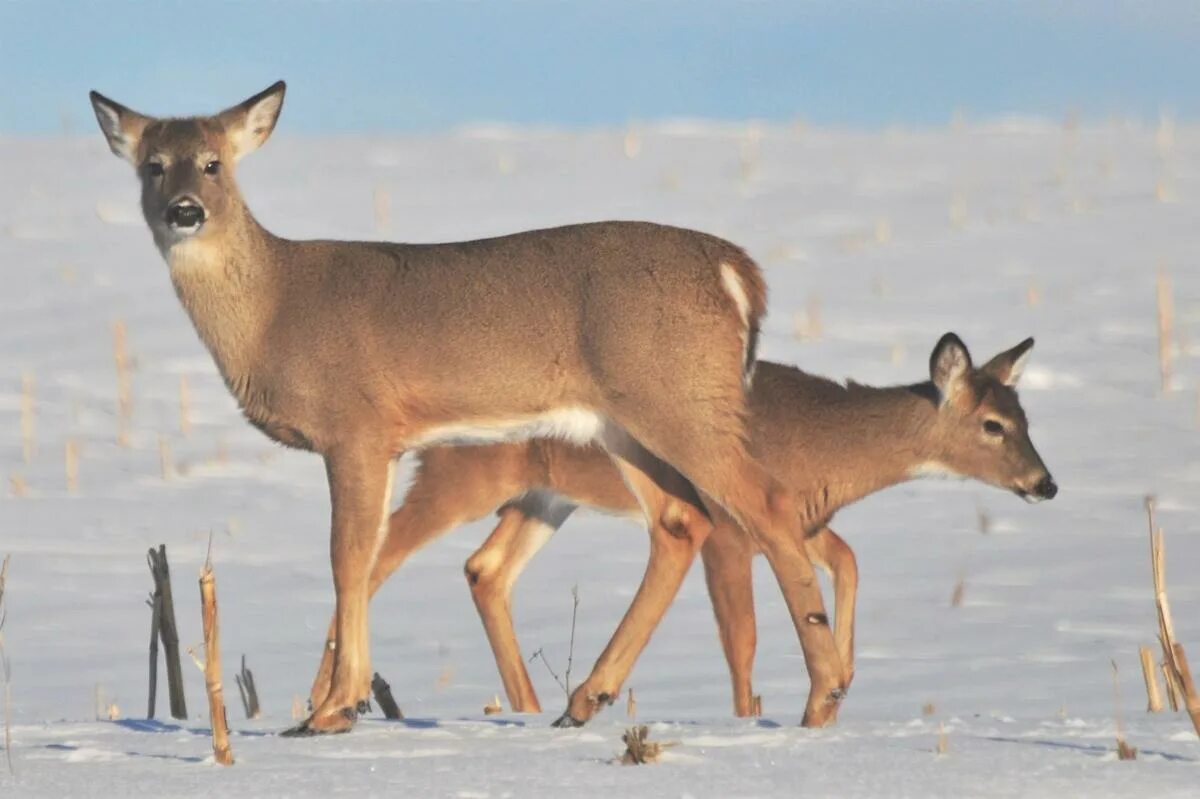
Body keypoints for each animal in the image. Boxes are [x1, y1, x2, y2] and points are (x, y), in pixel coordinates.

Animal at [88, 82, 849, 734]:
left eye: (213, 163)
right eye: (153, 166)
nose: (185, 210)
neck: (274, 308)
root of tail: (737, 271)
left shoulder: (357, 426)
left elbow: (349, 558)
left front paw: (332, 708)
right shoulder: (381, 439)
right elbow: (367, 559)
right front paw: (335, 701)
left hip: (680, 399)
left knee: (767, 506)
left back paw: (823, 695)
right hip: (624, 422)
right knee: (680, 521)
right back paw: (586, 698)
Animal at [312, 333, 1060, 715]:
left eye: (1025, 416)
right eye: (992, 425)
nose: (1045, 483)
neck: (823, 445)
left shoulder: (797, 521)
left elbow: (848, 559)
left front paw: (838, 681)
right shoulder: (731, 530)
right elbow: (744, 641)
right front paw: (760, 720)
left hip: (545, 497)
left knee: (485, 568)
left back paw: (528, 706)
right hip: (461, 477)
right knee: (374, 560)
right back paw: (323, 700)